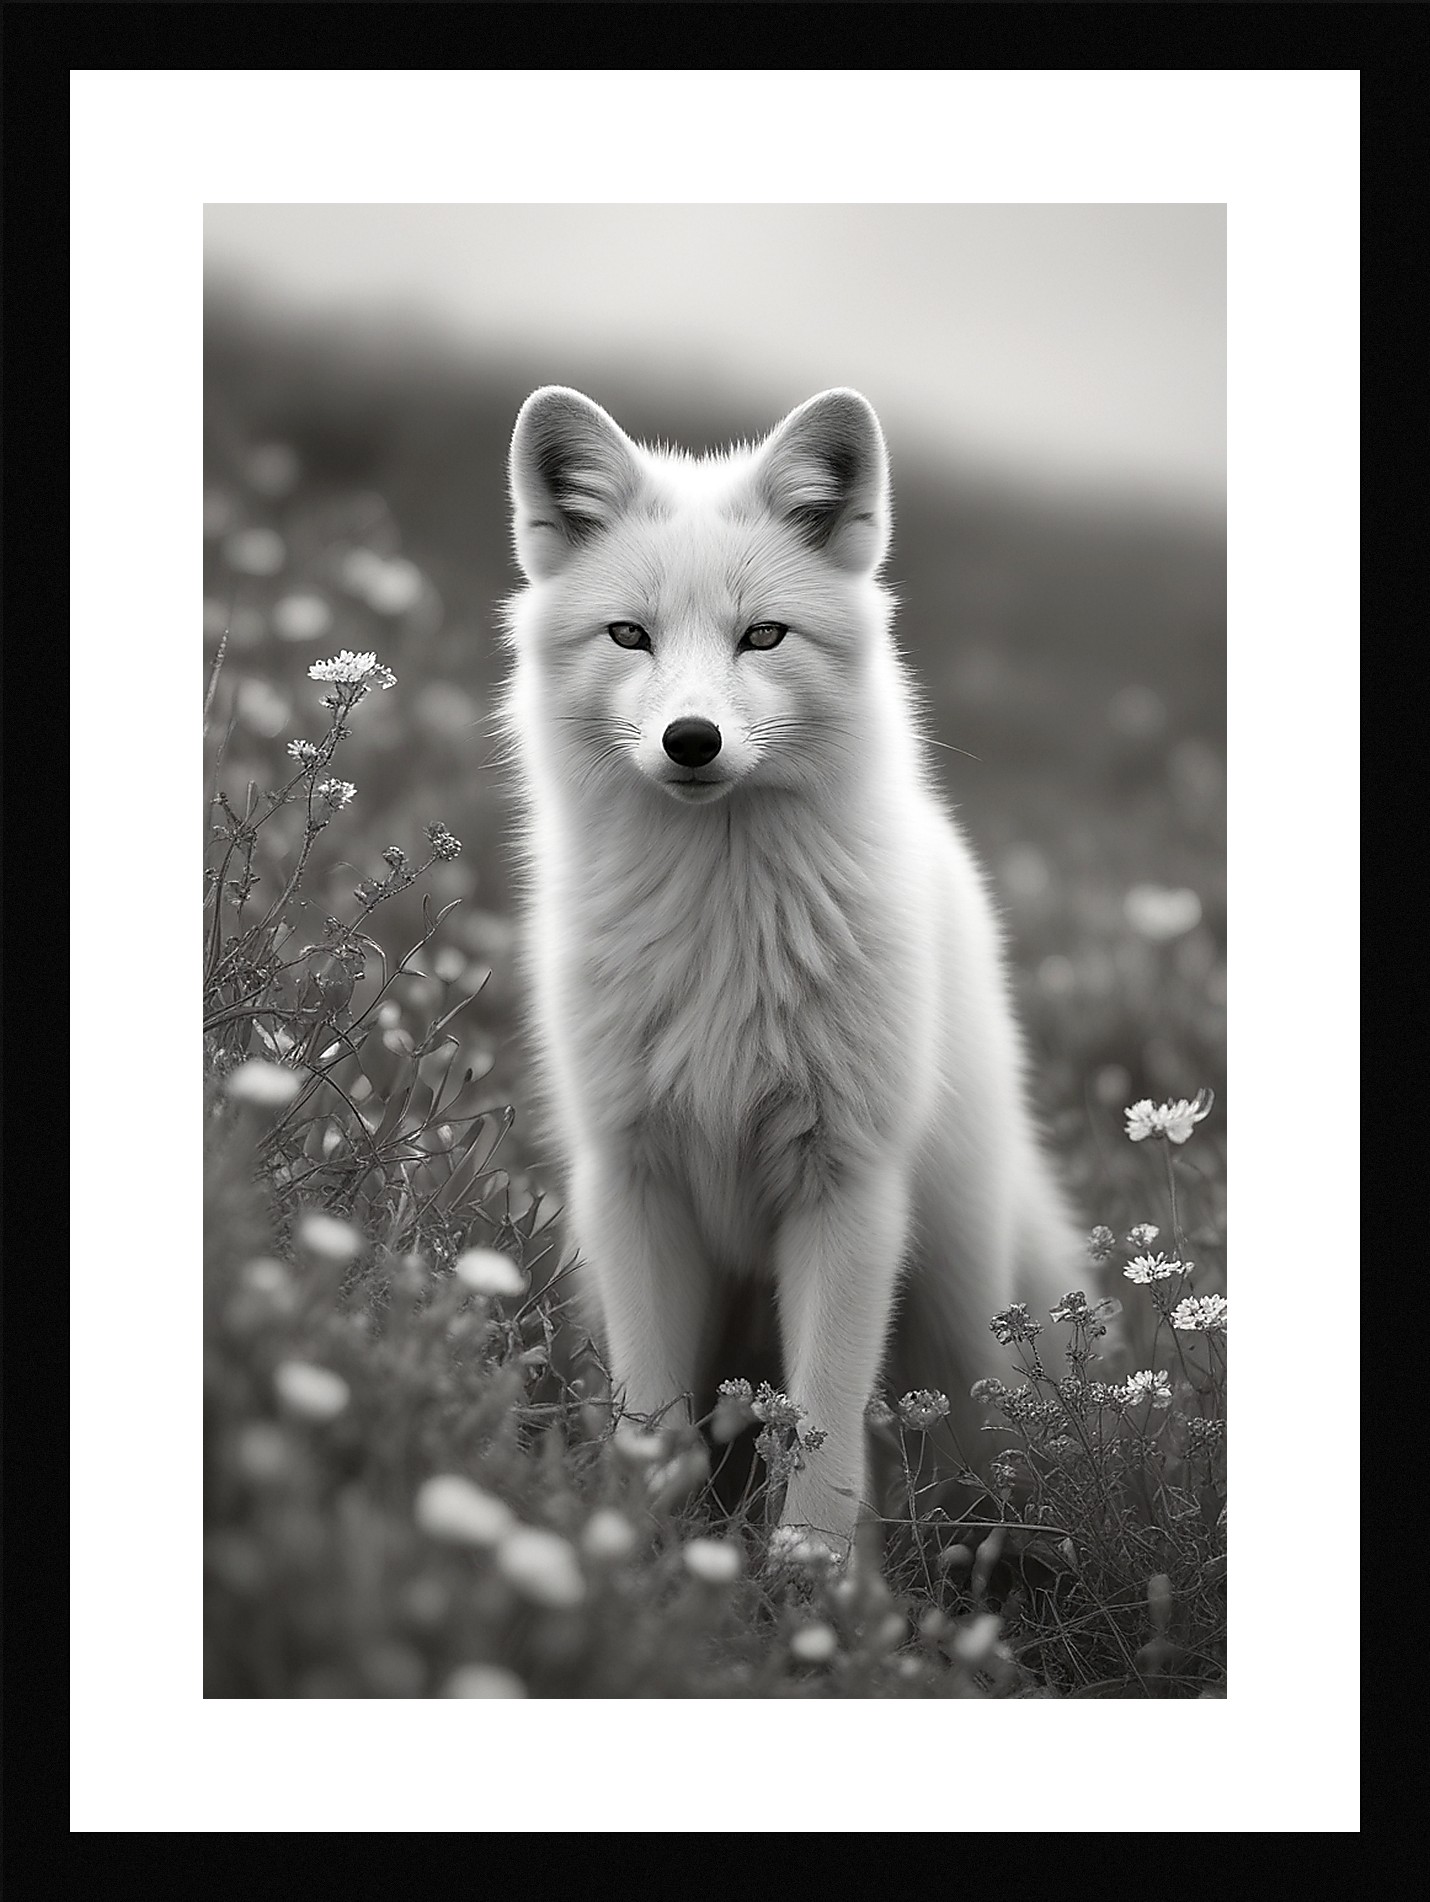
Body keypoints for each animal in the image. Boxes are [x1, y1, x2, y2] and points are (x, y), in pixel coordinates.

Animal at [499, 384, 1082, 1560]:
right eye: (629, 635)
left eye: (760, 634)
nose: (690, 740)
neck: (721, 936)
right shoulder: (633, 1180)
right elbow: (651, 1419)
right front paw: (641, 1556)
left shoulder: (846, 1189)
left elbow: (821, 1431)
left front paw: (814, 1579)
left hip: (962, 1315)